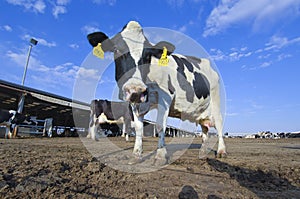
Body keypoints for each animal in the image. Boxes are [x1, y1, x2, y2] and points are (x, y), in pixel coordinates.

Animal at [85, 20, 226, 164]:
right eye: (115, 49)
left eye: (147, 55)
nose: (135, 89)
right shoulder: (136, 102)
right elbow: (139, 127)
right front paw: (136, 154)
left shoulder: (166, 95)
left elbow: (160, 125)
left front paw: (160, 155)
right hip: (201, 113)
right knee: (205, 129)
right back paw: (203, 152)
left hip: (216, 102)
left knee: (219, 125)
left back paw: (221, 151)